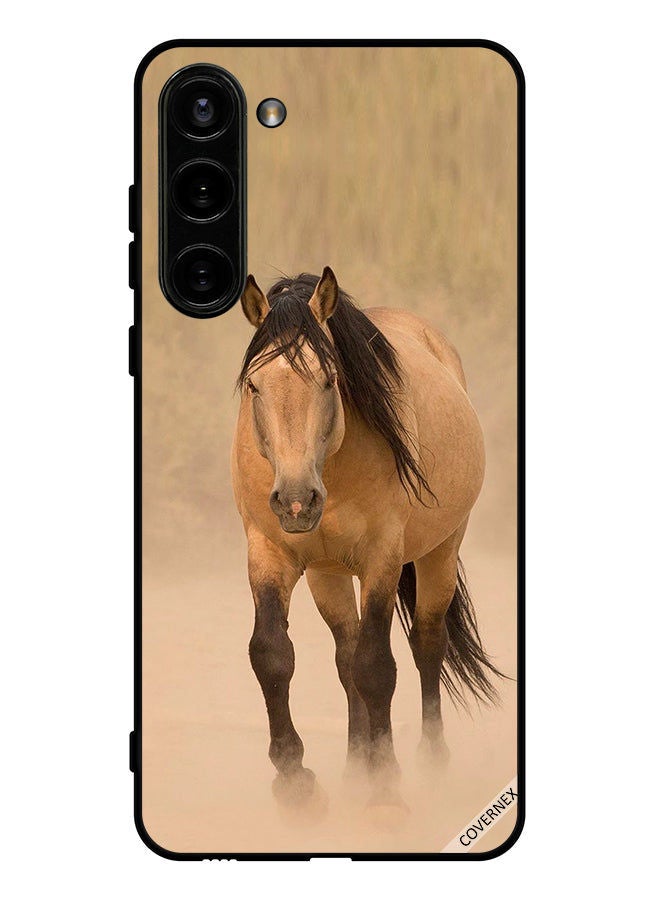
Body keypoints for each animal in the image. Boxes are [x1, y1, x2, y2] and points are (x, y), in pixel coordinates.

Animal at [231, 267, 503, 817]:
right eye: (254, 385)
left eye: (330, 379)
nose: (296, 502)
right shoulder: (270, 553)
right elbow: (272, 654)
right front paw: (295, 780)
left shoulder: (382, 559)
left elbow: (378, 667)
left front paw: (386, 786)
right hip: (327, 574)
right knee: (345, 656)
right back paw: (355, 767)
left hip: (440, 552)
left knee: (425, 645)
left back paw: (430, 763)